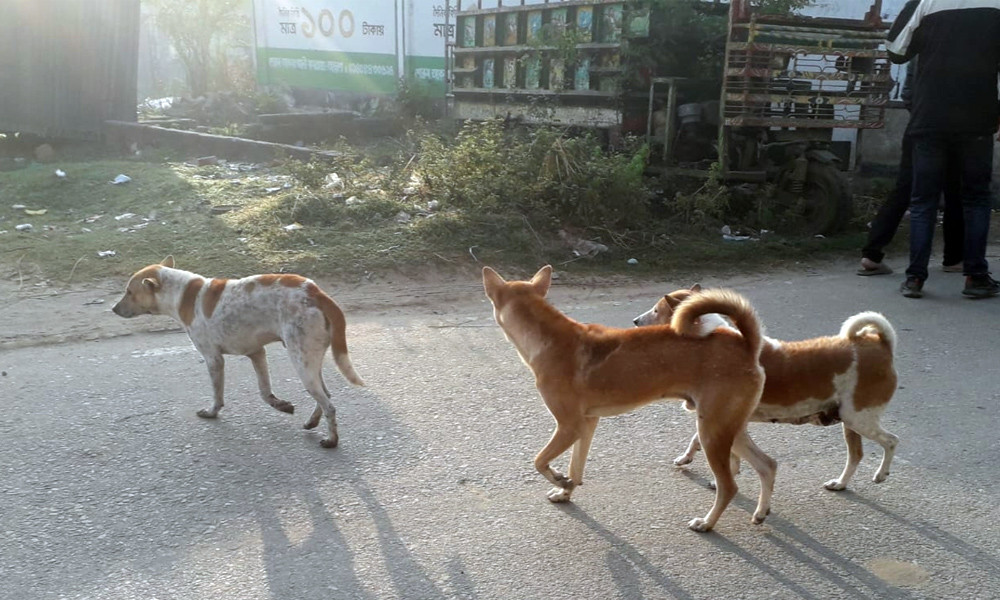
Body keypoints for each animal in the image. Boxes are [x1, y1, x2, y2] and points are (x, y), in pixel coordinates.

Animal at [111, 255, 366, 448]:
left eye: (129, 292)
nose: (113, 309)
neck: (182, 294)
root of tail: (316, 292)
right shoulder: (256, 353)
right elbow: (265, 392)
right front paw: (281, 405)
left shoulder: (213, 359)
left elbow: (217, 395)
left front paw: (212, 412)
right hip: (310, 361)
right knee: (325, 396)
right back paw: (312, 422)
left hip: (302, 363)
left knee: (329, 406)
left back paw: (331, 440)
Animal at [480, 264, 776, 532]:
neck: (549, 339)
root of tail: (746, 345)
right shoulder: (587, 424)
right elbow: (576, 468)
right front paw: (566, 490)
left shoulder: (569, 426)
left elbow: (539, 460)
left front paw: (559, 480)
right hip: (727, 429)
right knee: (768, 465)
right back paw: (760, 512)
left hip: (711, 432)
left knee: (729, 486)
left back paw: (707, 523)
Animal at [636, 284, 904, 490]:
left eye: (656, 310)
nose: (635, 321)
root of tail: (880, 343)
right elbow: (714, 447)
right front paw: (696, 462)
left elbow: (707, 444)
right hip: (849, 420)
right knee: (856, 455)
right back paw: (840, 483)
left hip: (858, 418)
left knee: (891, 441)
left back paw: (881, 474)